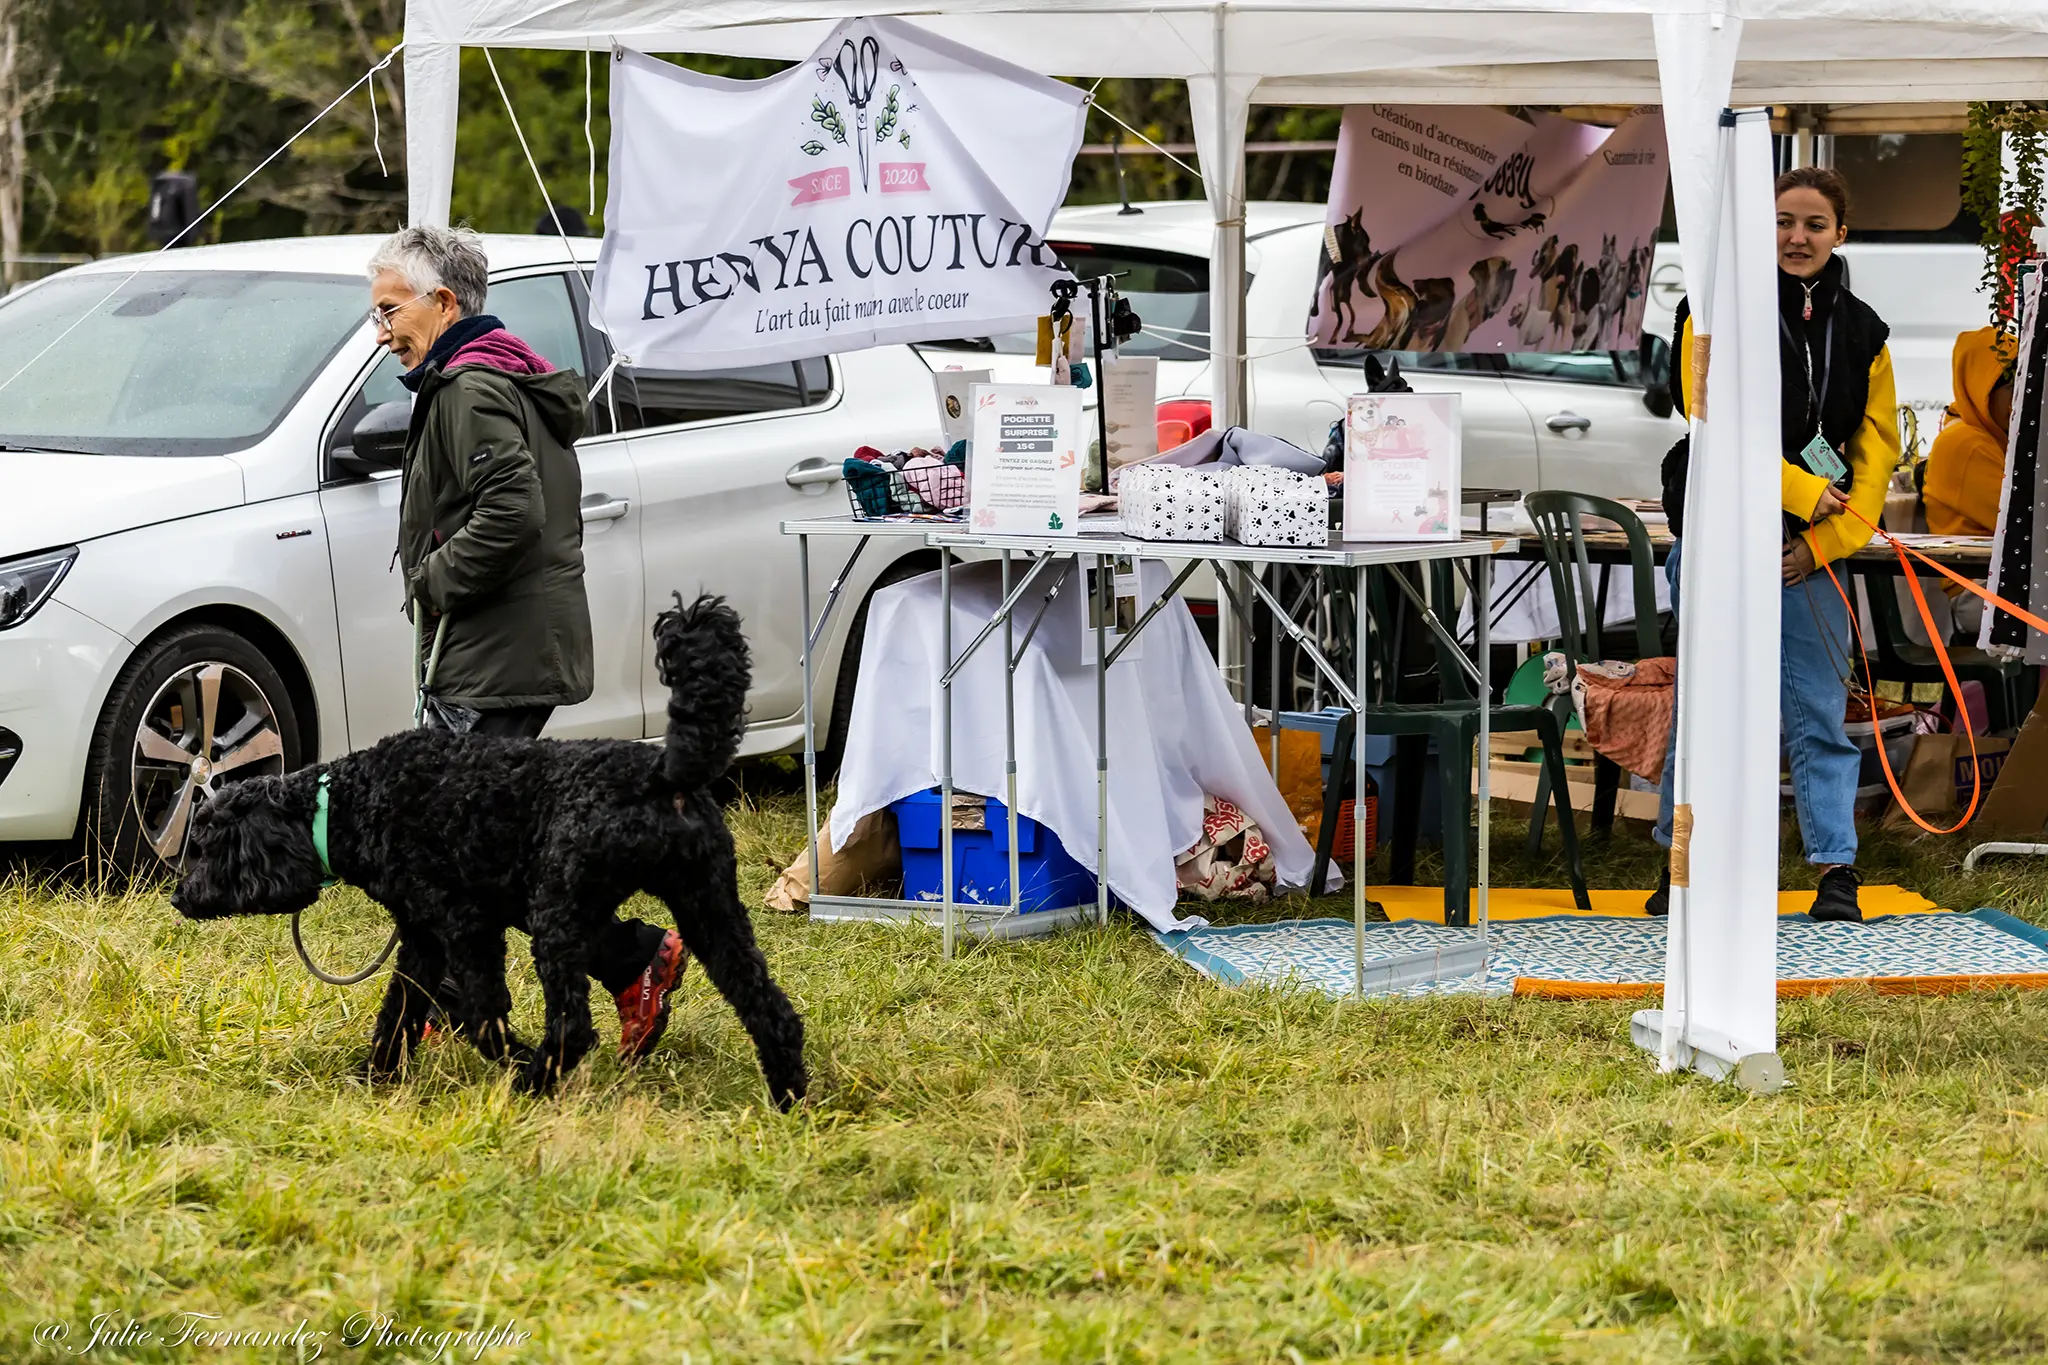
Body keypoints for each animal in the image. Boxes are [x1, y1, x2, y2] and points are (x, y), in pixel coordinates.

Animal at [169, 593, 806, 1105]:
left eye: (204, 846)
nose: (178, 898)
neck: (346, 803)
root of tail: (665, 771)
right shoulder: (422, 938)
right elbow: (398, 1011)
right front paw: (376, 1078)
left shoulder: (466, 926)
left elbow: (480, 1015)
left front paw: (511, 1057)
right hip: (708, 907)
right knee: (768, 1007)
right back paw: (790, 1095)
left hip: (558, 915)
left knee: (574, 1026)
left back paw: (535, 1081)